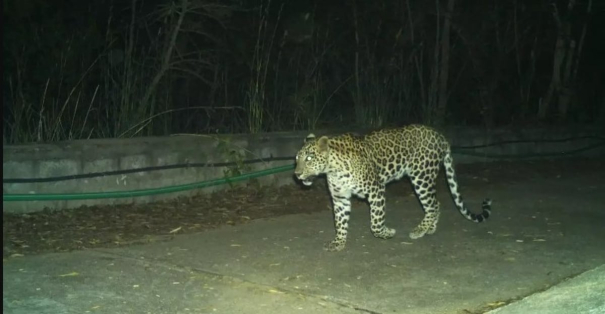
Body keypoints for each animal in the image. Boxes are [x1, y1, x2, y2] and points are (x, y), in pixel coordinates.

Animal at [294, 124, 490, 251]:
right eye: (296, 159)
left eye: (309, 159)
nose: (296, 174)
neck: (333, 168)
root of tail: (440, 136)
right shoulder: (340, 198)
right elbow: (340, 222)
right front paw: (339, 243)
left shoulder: (376, 190)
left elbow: (375, 222)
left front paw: (387, 233)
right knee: (437, 203)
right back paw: (430, 229)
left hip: (421, 177)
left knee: (433, 204)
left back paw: (419, 230)